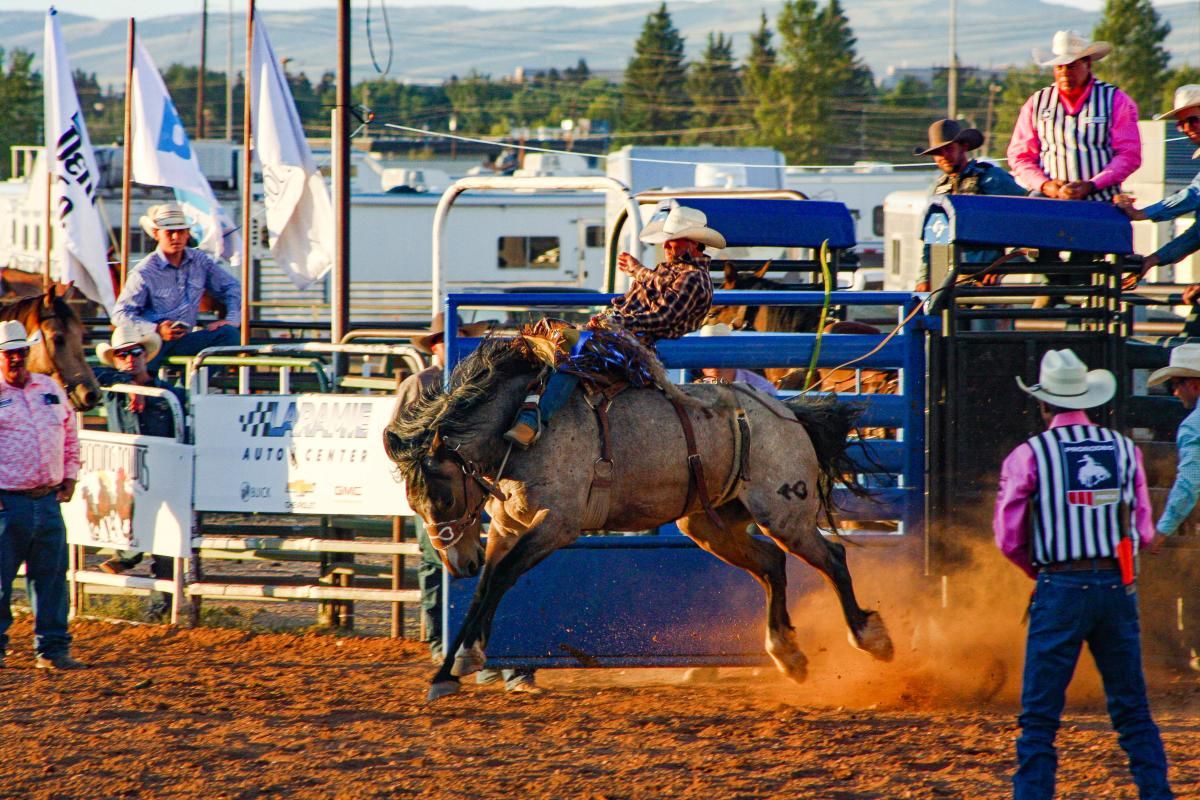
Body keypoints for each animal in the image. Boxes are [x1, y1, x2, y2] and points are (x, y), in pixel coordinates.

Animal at [384, 333, 892, 700]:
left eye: (443, 497)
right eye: (415, 504)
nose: (457, 564)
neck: (520, 422)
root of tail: (787, 412)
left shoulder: (557, 524)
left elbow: (504, 577)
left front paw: (462, 661)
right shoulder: (507, 527)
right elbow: (485, 587)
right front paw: (451, 669)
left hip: (784, 513)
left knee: (832, 557)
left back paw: (870, 637)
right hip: (708, 524)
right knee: (771, 564)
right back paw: (787, 653)